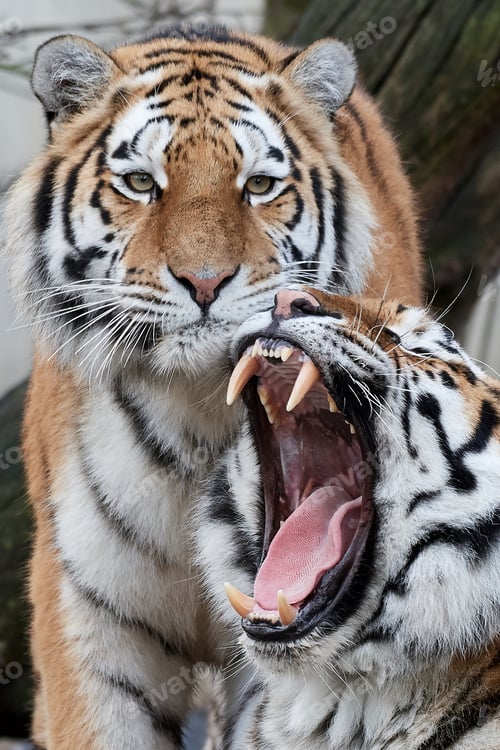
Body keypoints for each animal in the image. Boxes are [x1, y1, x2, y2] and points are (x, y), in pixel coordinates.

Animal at [5, 22, 422, 749]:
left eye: (258, 186)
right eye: (140, 182)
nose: (205, 281)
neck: (196, 409)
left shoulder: (292, 611)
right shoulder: (87, 617)